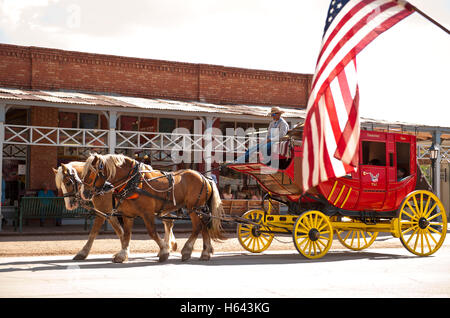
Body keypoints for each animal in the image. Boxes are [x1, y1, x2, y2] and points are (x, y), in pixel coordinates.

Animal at [80, 153, 225, 260]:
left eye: (91, 172)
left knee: (197, 227)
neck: (133, 182)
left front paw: (164, 251)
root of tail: (204, 177)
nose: (84, 193)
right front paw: (122, 254)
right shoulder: (127, 214)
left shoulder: (147, 213)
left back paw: (187, 250)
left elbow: (152, 232)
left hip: (193, 208)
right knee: (204, 226)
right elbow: (126, 234)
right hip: (199, 209)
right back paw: (205, 252)